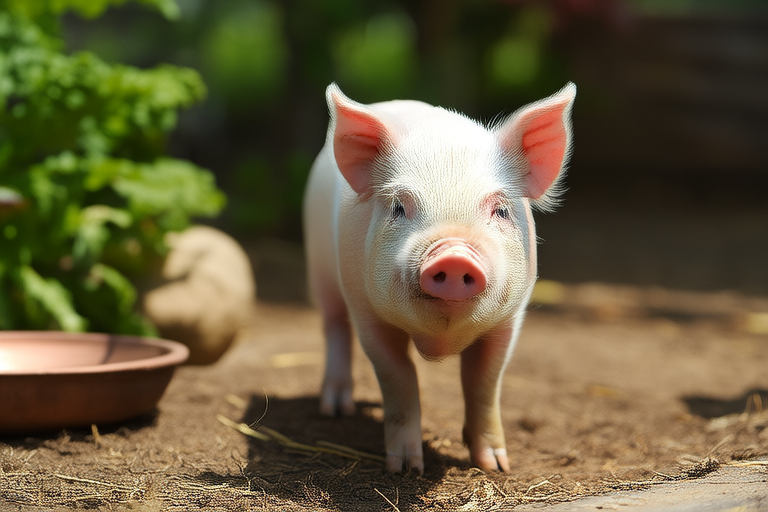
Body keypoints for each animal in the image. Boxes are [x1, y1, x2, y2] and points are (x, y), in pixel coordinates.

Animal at [303, 82, 576, 473]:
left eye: (501, 210)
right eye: (398, 207)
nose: (455, 254)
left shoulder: (510, 318)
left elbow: (484, 381)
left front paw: (496, 466)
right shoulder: (365, 309)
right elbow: (397, 374)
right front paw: (405, 469)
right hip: (320, 269)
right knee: (334, 326)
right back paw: (337, 410)